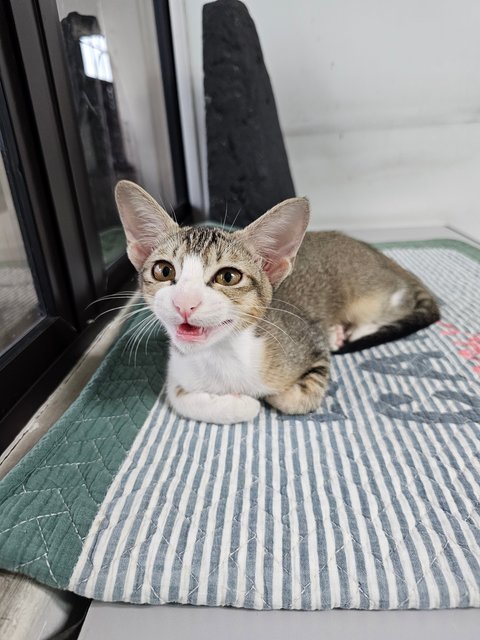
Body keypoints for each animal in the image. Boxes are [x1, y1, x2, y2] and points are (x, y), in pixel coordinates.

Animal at [115, 180, 438, 424]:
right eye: (164, 271)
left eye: (228, 277)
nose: (185, 303)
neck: (222, 356)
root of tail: (380, 255)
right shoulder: (178, 372)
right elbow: (181, 398)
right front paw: (240, 404)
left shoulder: (311, 345)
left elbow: (293, 399)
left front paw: (267, 397)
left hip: (370, 295)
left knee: (395, 304)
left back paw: (348, 332)